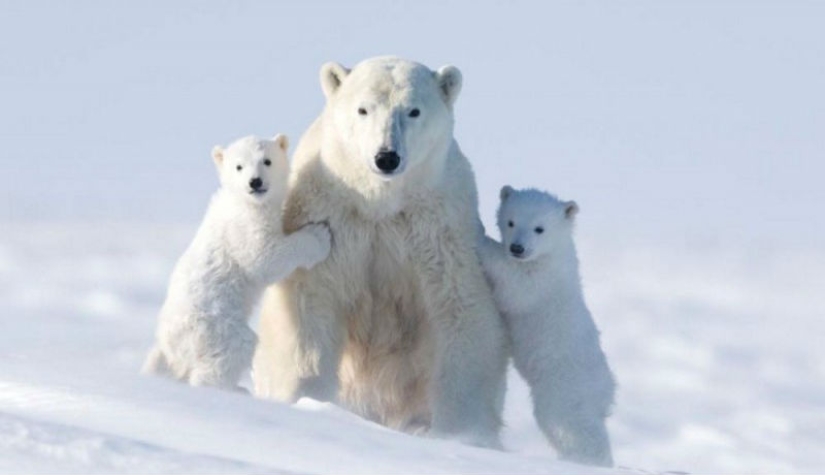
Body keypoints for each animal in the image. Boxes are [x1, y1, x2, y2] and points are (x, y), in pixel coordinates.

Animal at [143, 134, 330, 390]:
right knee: (233, 350)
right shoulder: (243, 228)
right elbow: (264, 258)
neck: (242, 202)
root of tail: (167, 344)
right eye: (239, 166)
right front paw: (319, 235)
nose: (255, 182)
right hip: (215, 327)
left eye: (267, 160)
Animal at [251, 57, 508, 448]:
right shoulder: (332, 219)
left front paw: (463, 433)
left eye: (414, 110)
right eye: (363, 109)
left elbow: (460, 310)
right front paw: (308, 399)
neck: (379, 204)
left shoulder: (437, 228)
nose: (386, 157)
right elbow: (310, 304)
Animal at [476, 187, 612, 468]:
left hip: (564, 384)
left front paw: (478, 233)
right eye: (511, 221)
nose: (517, 248)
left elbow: (515, 285)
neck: (553, 254)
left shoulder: (541, 279)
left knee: (568, 422)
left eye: (539, 228)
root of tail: (606, 389)